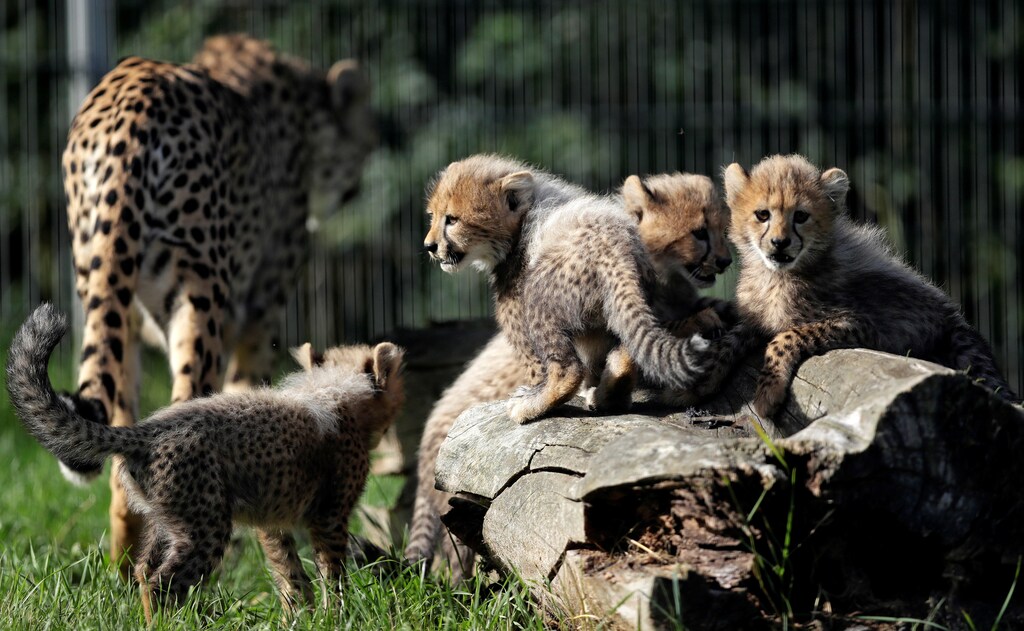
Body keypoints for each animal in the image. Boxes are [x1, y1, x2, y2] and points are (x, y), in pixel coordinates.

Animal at [6, 303, 404, 622]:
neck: (335, 389)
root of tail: (145, 430)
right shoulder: (329, 517)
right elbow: (332, 572)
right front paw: (336, 615)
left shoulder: (272, 520)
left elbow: (289, 571)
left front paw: (300, 616)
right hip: (207, 525)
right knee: (161, 582)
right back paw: (170, 625)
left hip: (169, 519)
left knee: (143, 570)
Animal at [59, 33, 375, 572]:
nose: (354, 188)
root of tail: (134, 95)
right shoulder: (258, 315)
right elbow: (248, 398)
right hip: (198, 298)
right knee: (185, 407)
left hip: (106, 290)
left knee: (125, 442)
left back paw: (125, 566)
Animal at [690, 153, 1018, 424]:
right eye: (763, 214)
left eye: (800, 216)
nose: (780, 243)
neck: (775, 276)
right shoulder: (757, 319)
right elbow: (730, 339)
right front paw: (704, 376)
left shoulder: (861, 324)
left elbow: (786, 336)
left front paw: (768, 394)